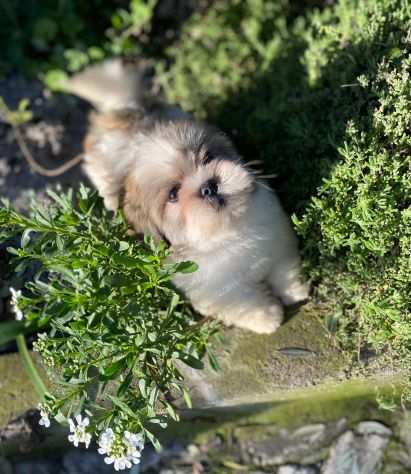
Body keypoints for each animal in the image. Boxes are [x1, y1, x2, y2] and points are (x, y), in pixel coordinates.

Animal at [67, 60, 308, 334]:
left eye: (208, 158)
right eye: (173, 194)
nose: (208, 187)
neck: (225, 235)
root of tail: (119, 108)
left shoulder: (277, 242)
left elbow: (284, 270)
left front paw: (294, 291)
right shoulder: (221, 293)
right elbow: (245, 305)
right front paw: (267, 318)